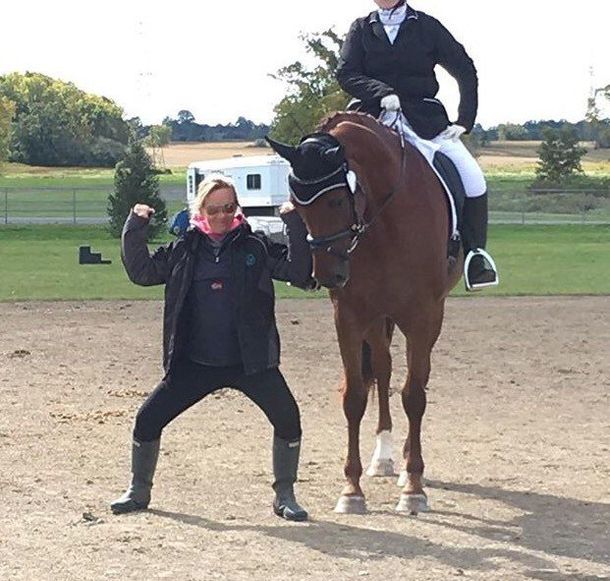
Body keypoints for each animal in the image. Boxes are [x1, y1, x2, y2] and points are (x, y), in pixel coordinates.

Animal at [268, 112, 458, 512]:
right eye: (297, 205)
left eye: (338, 201)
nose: (328, 275)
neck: (385, 221)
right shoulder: (350, 317)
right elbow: (355, 397)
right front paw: (351, 490)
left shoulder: (421, 316)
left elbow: (413, 396)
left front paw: (413, 489)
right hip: (378, 319)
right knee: (384, 371)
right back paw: (383, 458)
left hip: (431, 317)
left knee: (418, 378)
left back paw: (407, 464)